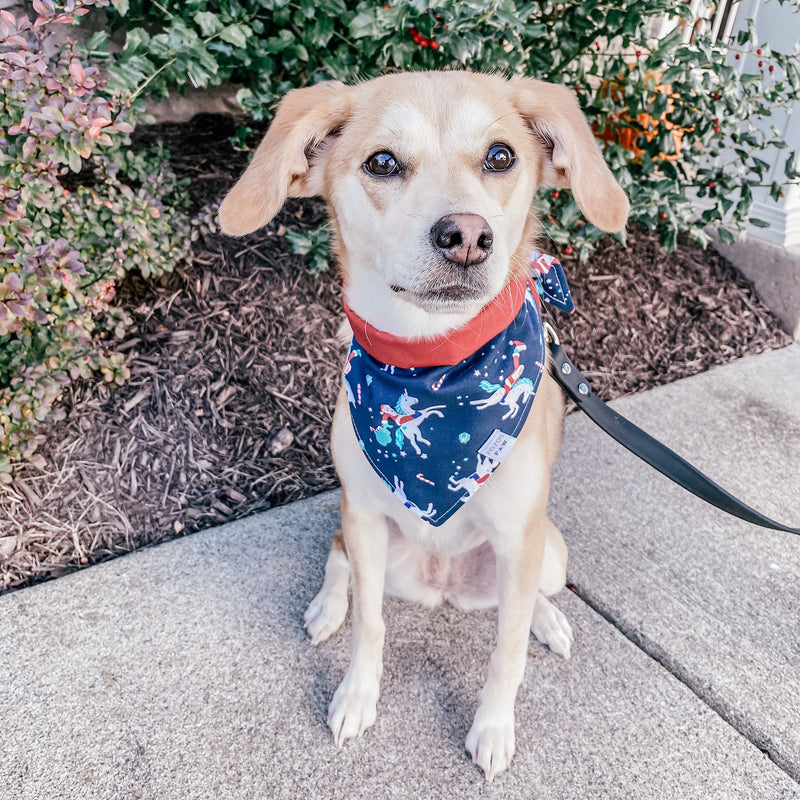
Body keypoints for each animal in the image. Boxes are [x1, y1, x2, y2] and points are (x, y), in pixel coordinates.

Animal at [217, 70, 624, 780]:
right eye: (382, 162)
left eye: (500, 156)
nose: (466, 234)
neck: (434, 361)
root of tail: (443, 588)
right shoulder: (365, 516)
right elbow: (371, 625)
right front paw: (357, 696)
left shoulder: (519, 536)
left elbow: (506, 650)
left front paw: (493, 727)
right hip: (368, 535)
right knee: (339, 561)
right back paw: (327, 605)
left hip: (547, 551)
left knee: (531, 597)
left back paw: (548, 619)